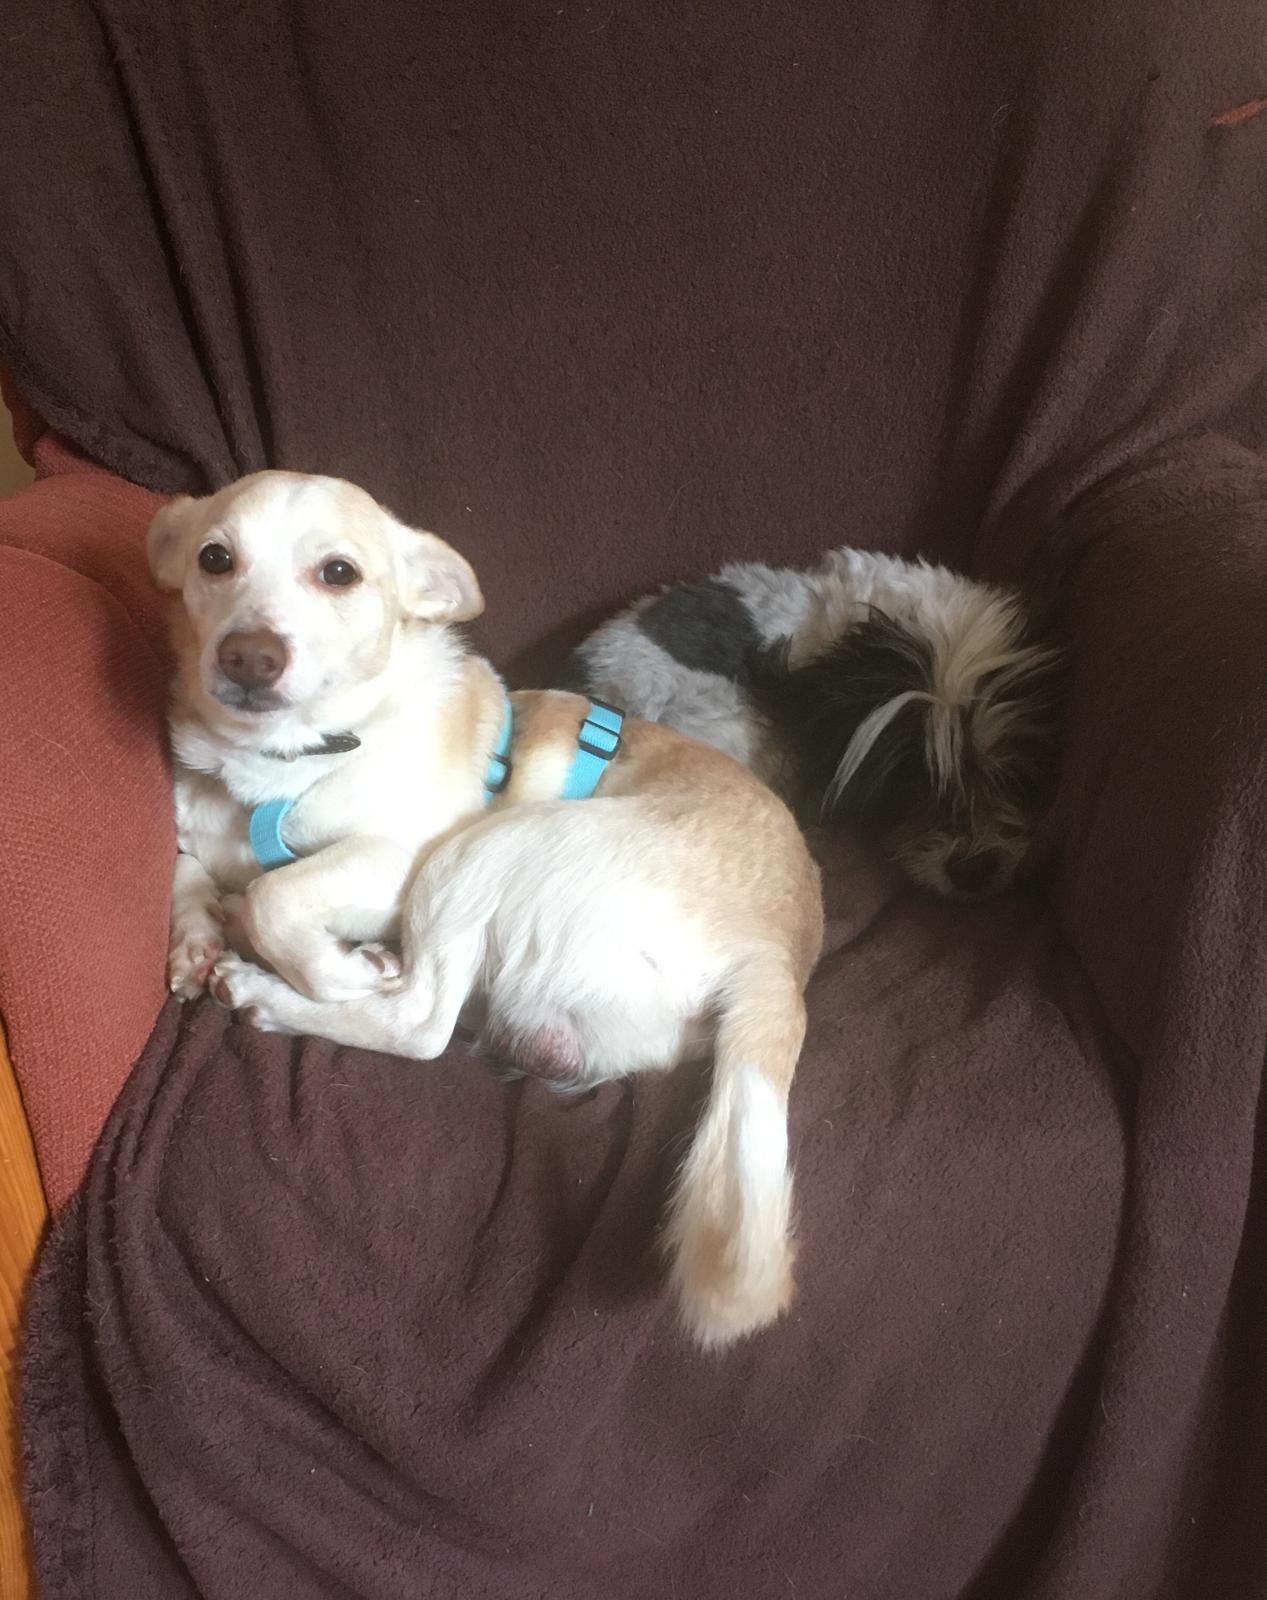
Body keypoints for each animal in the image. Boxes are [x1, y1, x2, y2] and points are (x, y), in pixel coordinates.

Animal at [149, 471, 823, 1348]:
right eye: (214, 559)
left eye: (339, 573)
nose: (248, 656)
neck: (278, 767)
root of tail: (778, 954)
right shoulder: (198, 834)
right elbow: (189, 874)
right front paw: (195, 939)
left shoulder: (399, 855)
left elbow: (274, 894)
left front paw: (329, 967)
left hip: (478, 852)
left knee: (420, 1022)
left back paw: (278, 992)